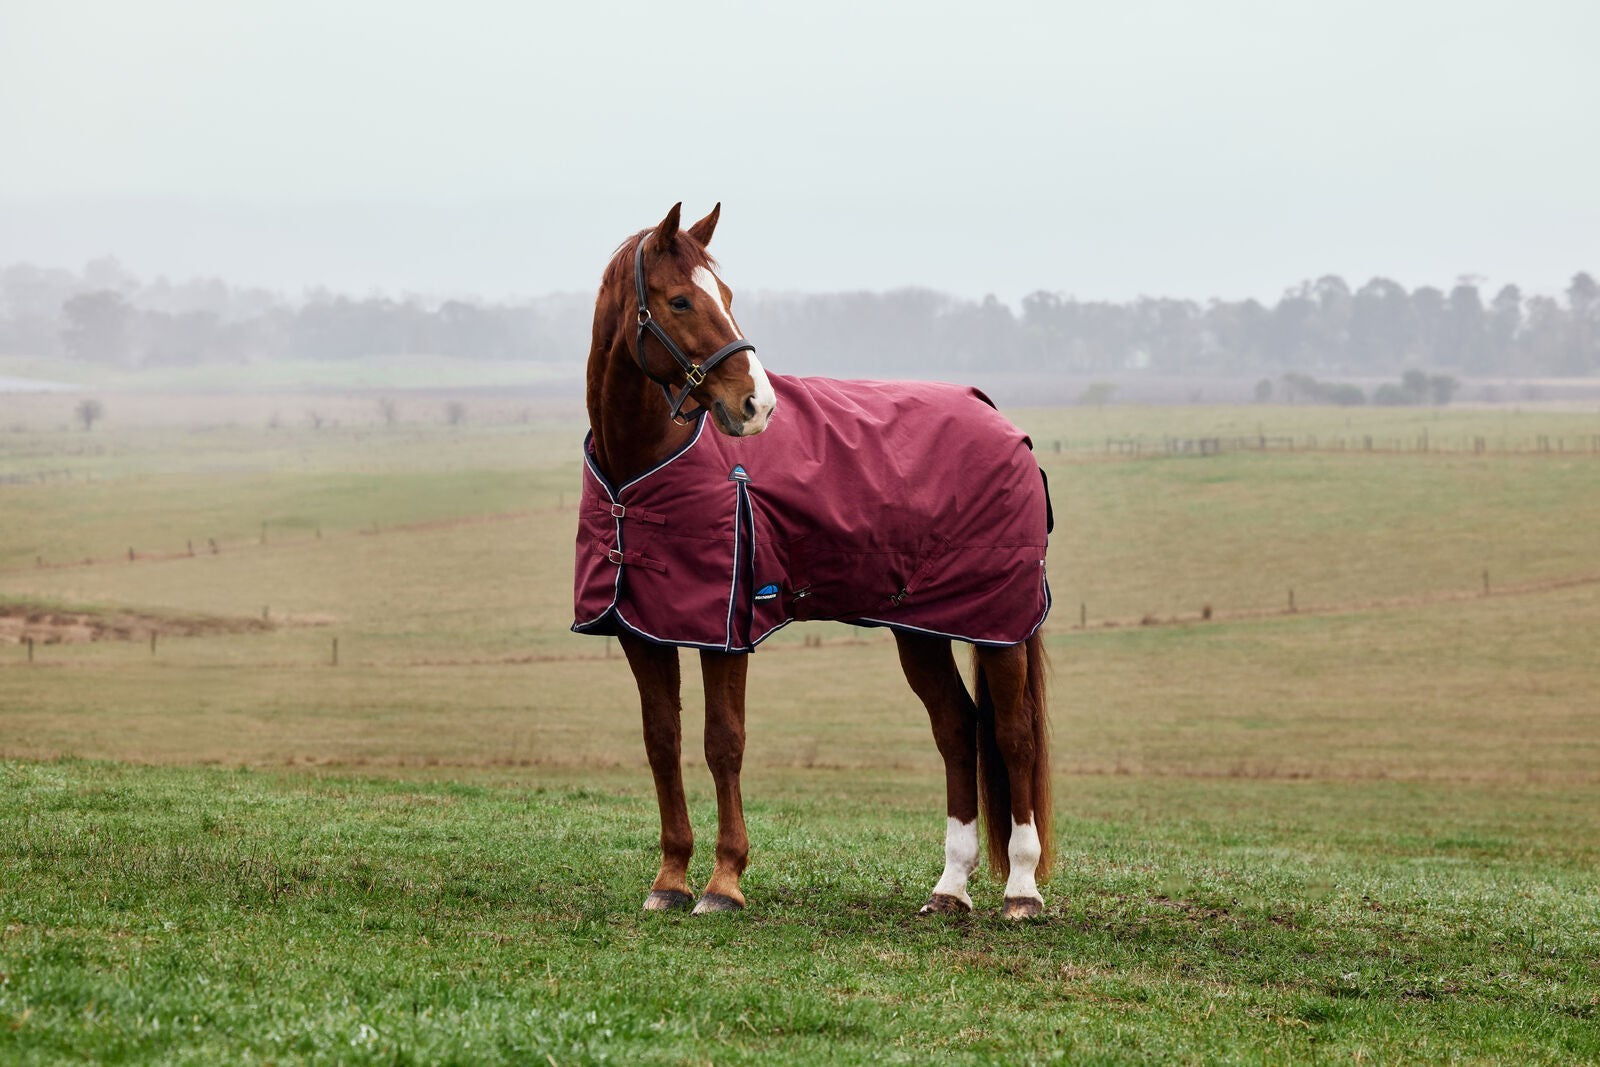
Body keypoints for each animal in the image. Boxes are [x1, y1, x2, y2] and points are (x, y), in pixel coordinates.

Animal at [573, 203, 1054, 919]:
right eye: (681, 299)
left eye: (728, 296)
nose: (756, 405)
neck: (640, 470)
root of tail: (1000, 422)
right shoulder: (643, 628)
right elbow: (663, 741)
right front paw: (670, 880)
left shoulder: (726, 631)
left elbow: (724, 742)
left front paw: (723, 883)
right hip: (921, 629)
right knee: (956, 727)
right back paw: (949, 888)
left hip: (999, 624)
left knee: (1014, 734)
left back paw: (1021, 889)